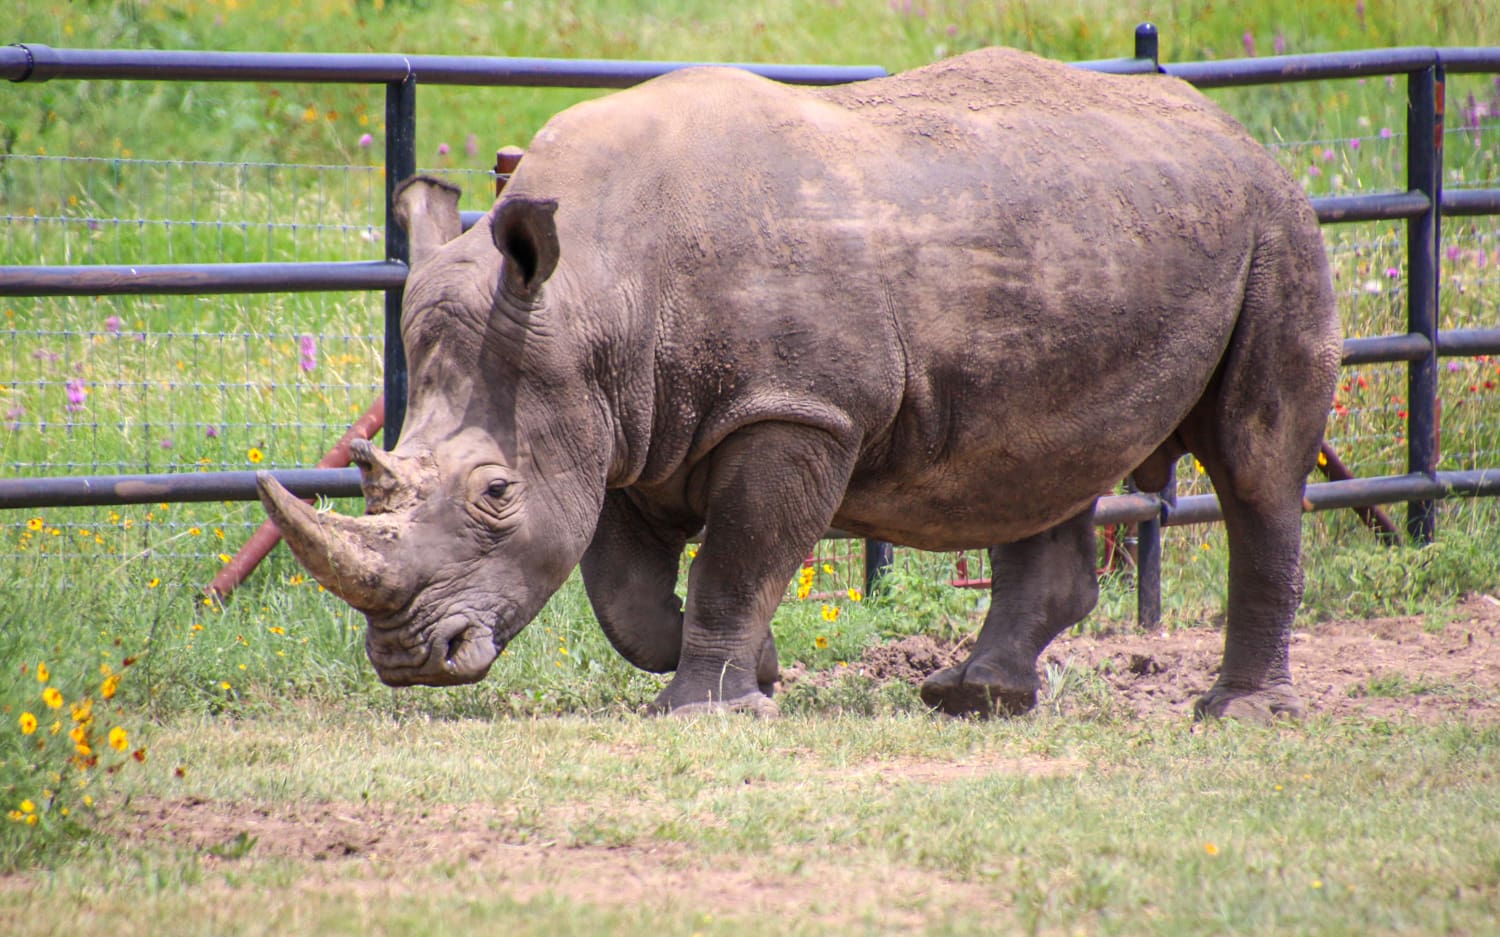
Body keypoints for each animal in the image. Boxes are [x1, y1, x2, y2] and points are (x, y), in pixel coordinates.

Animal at [258, 47, 1338, 719]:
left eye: (493, 492)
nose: (408, 661)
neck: (597, 287)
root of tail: (1237, 129)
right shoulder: (618, 421)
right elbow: (625, 597)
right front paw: (764, 670)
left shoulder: (794, 411)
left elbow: (738, 559)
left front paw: (708, 709)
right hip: (1093, 233)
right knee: (1035, 457)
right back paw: (971, 697)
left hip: (1274, 224)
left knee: (1255, 463)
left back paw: (1239, 714)